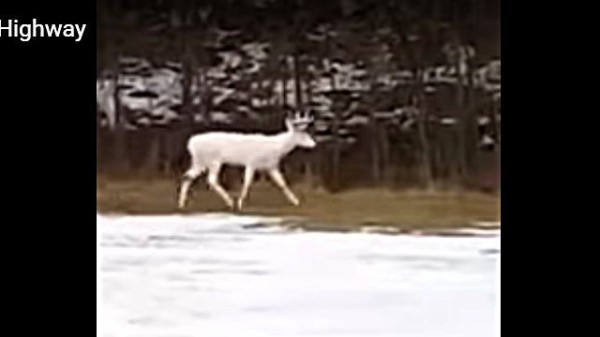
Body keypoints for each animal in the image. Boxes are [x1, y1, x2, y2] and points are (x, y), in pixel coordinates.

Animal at [176, 111, 316, 209]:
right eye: (303, 135)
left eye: (307, 134)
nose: (314, 144)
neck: (276, 147)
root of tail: (190, 143)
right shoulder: (251, 162)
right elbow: (247, 182)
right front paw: (240, 203)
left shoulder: (271, 166)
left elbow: (282, 183)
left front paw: (295, 201)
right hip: (213, 160)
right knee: (211, 180)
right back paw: (230, 202)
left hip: (199, 162)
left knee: (186, 176)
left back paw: (181, 203)